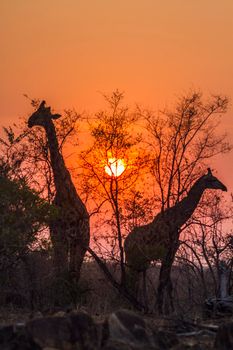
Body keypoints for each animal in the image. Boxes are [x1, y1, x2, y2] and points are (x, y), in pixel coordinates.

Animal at [27, 102, 89, 292]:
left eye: (41, 113)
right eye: (36, 111)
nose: (29, 121)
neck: (63, 192)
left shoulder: (71, 237)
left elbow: (70, 272)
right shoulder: (58, 236)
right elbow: (60, 270)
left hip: (83, 242)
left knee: (74, 272)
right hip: (66, 241)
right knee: (63, 270)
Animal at [124, 168, 227, 314]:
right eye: (213, 180)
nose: (224, 187)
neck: (176, 221)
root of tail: (125, 243)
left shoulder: (171, 253)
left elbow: (168, 282)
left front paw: (169, 310)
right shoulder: (166, 252)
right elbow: (162, 280)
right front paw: (161, 309)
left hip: (142, 260)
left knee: (137, 279)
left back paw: (139, 306)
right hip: (133, 259)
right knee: (131, 279)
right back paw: (133, 306)